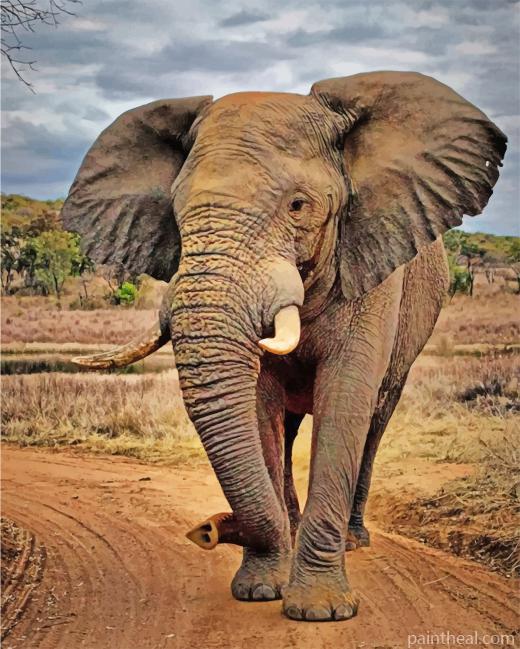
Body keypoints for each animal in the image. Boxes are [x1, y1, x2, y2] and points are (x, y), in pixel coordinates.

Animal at [63, 71, 506, 622]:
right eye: (176, 214)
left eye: (298, 206)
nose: (207, 530)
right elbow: (259, 406)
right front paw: (260, 588)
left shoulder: (372, 261)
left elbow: (345, 401)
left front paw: (320, 610)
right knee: (290, 427)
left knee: (376, 420)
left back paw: (353, 539)